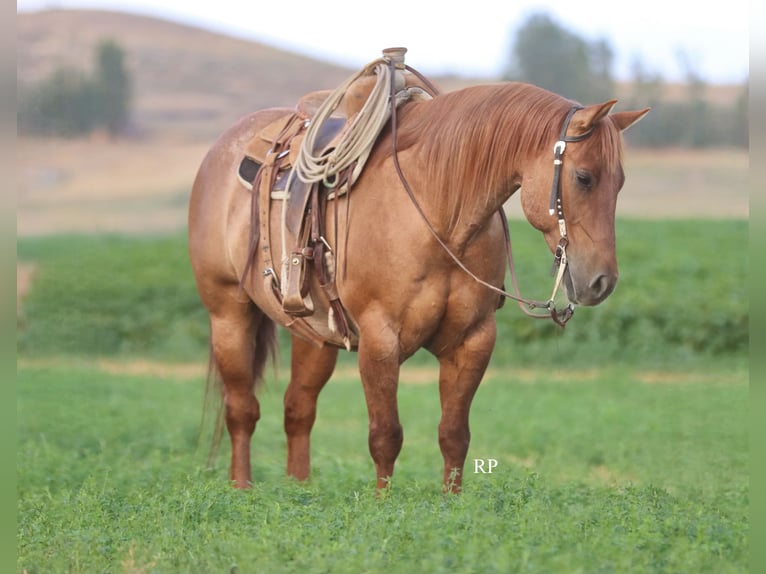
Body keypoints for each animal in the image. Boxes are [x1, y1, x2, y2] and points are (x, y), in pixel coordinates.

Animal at [188, 53, 649, 492]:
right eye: (584, 177)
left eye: (621, 182)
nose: (602, 281)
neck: (436, 209)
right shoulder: (380, 340)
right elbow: (385, 435)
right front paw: (383, 503)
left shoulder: (473, 339)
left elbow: (454, 434)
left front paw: (452, 503)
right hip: (228, 314)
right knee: (242, 408)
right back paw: (242, 489)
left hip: (314, 335)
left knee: (298, 408)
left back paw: (300, 490)